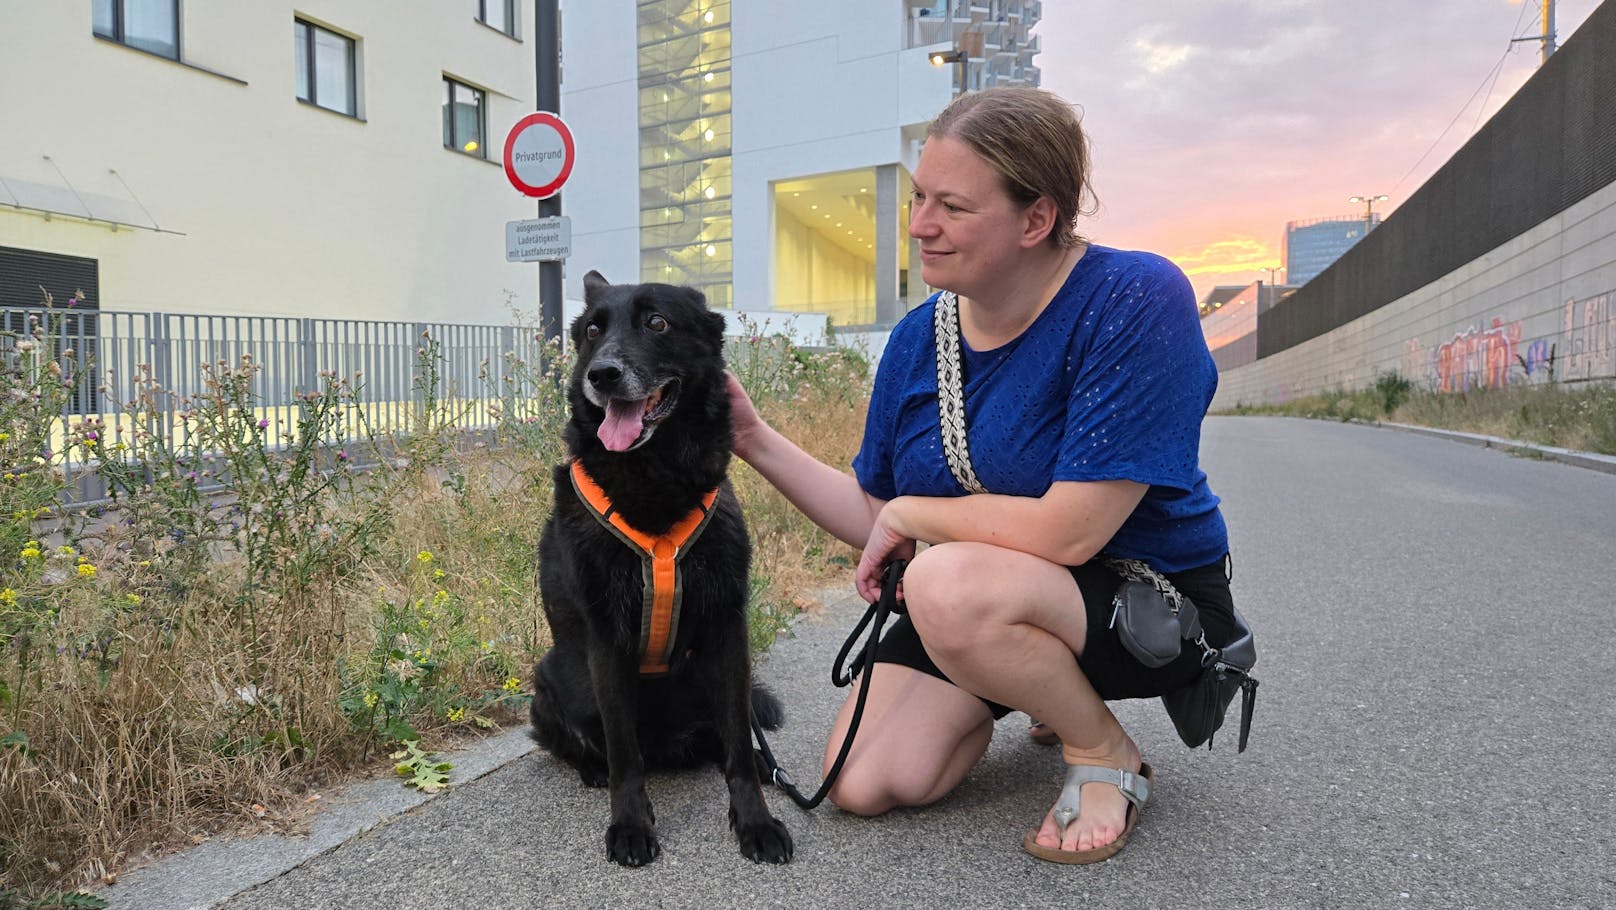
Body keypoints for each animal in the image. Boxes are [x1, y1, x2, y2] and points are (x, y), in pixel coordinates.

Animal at [533, 269, 791, 866]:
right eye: (592, 331)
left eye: (657, 322)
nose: (602, 375)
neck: (654, 479)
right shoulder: (606, 642)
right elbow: (624, 753)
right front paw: (630, 823)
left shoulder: (727, 631)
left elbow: (738, 745)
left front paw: (755, 821)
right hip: (548, 679)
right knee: (592, 744)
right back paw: (592, 768)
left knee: (728, 736)